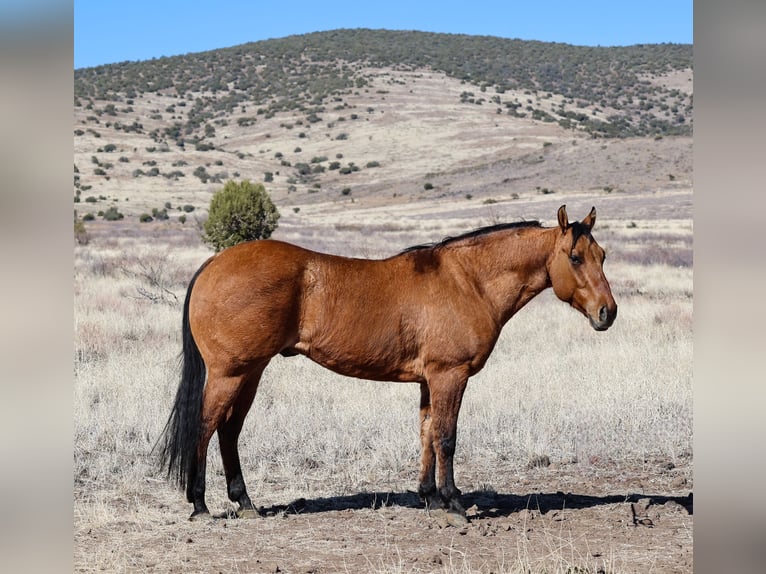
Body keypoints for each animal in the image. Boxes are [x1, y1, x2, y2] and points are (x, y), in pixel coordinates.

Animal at [156, 206, 616, 520]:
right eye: (575, 257)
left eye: (603, 255)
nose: (607, 313)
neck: (468, 281)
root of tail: (214, 263)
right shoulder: (450, 375)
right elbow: (447, 437)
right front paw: (453, 502)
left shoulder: (429, 380)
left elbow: (427, 433)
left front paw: (429, 497)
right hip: (230, 373)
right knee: (205, 425)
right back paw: (200, 504)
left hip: (251, 372)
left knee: (229, 430)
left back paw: (245, 502)